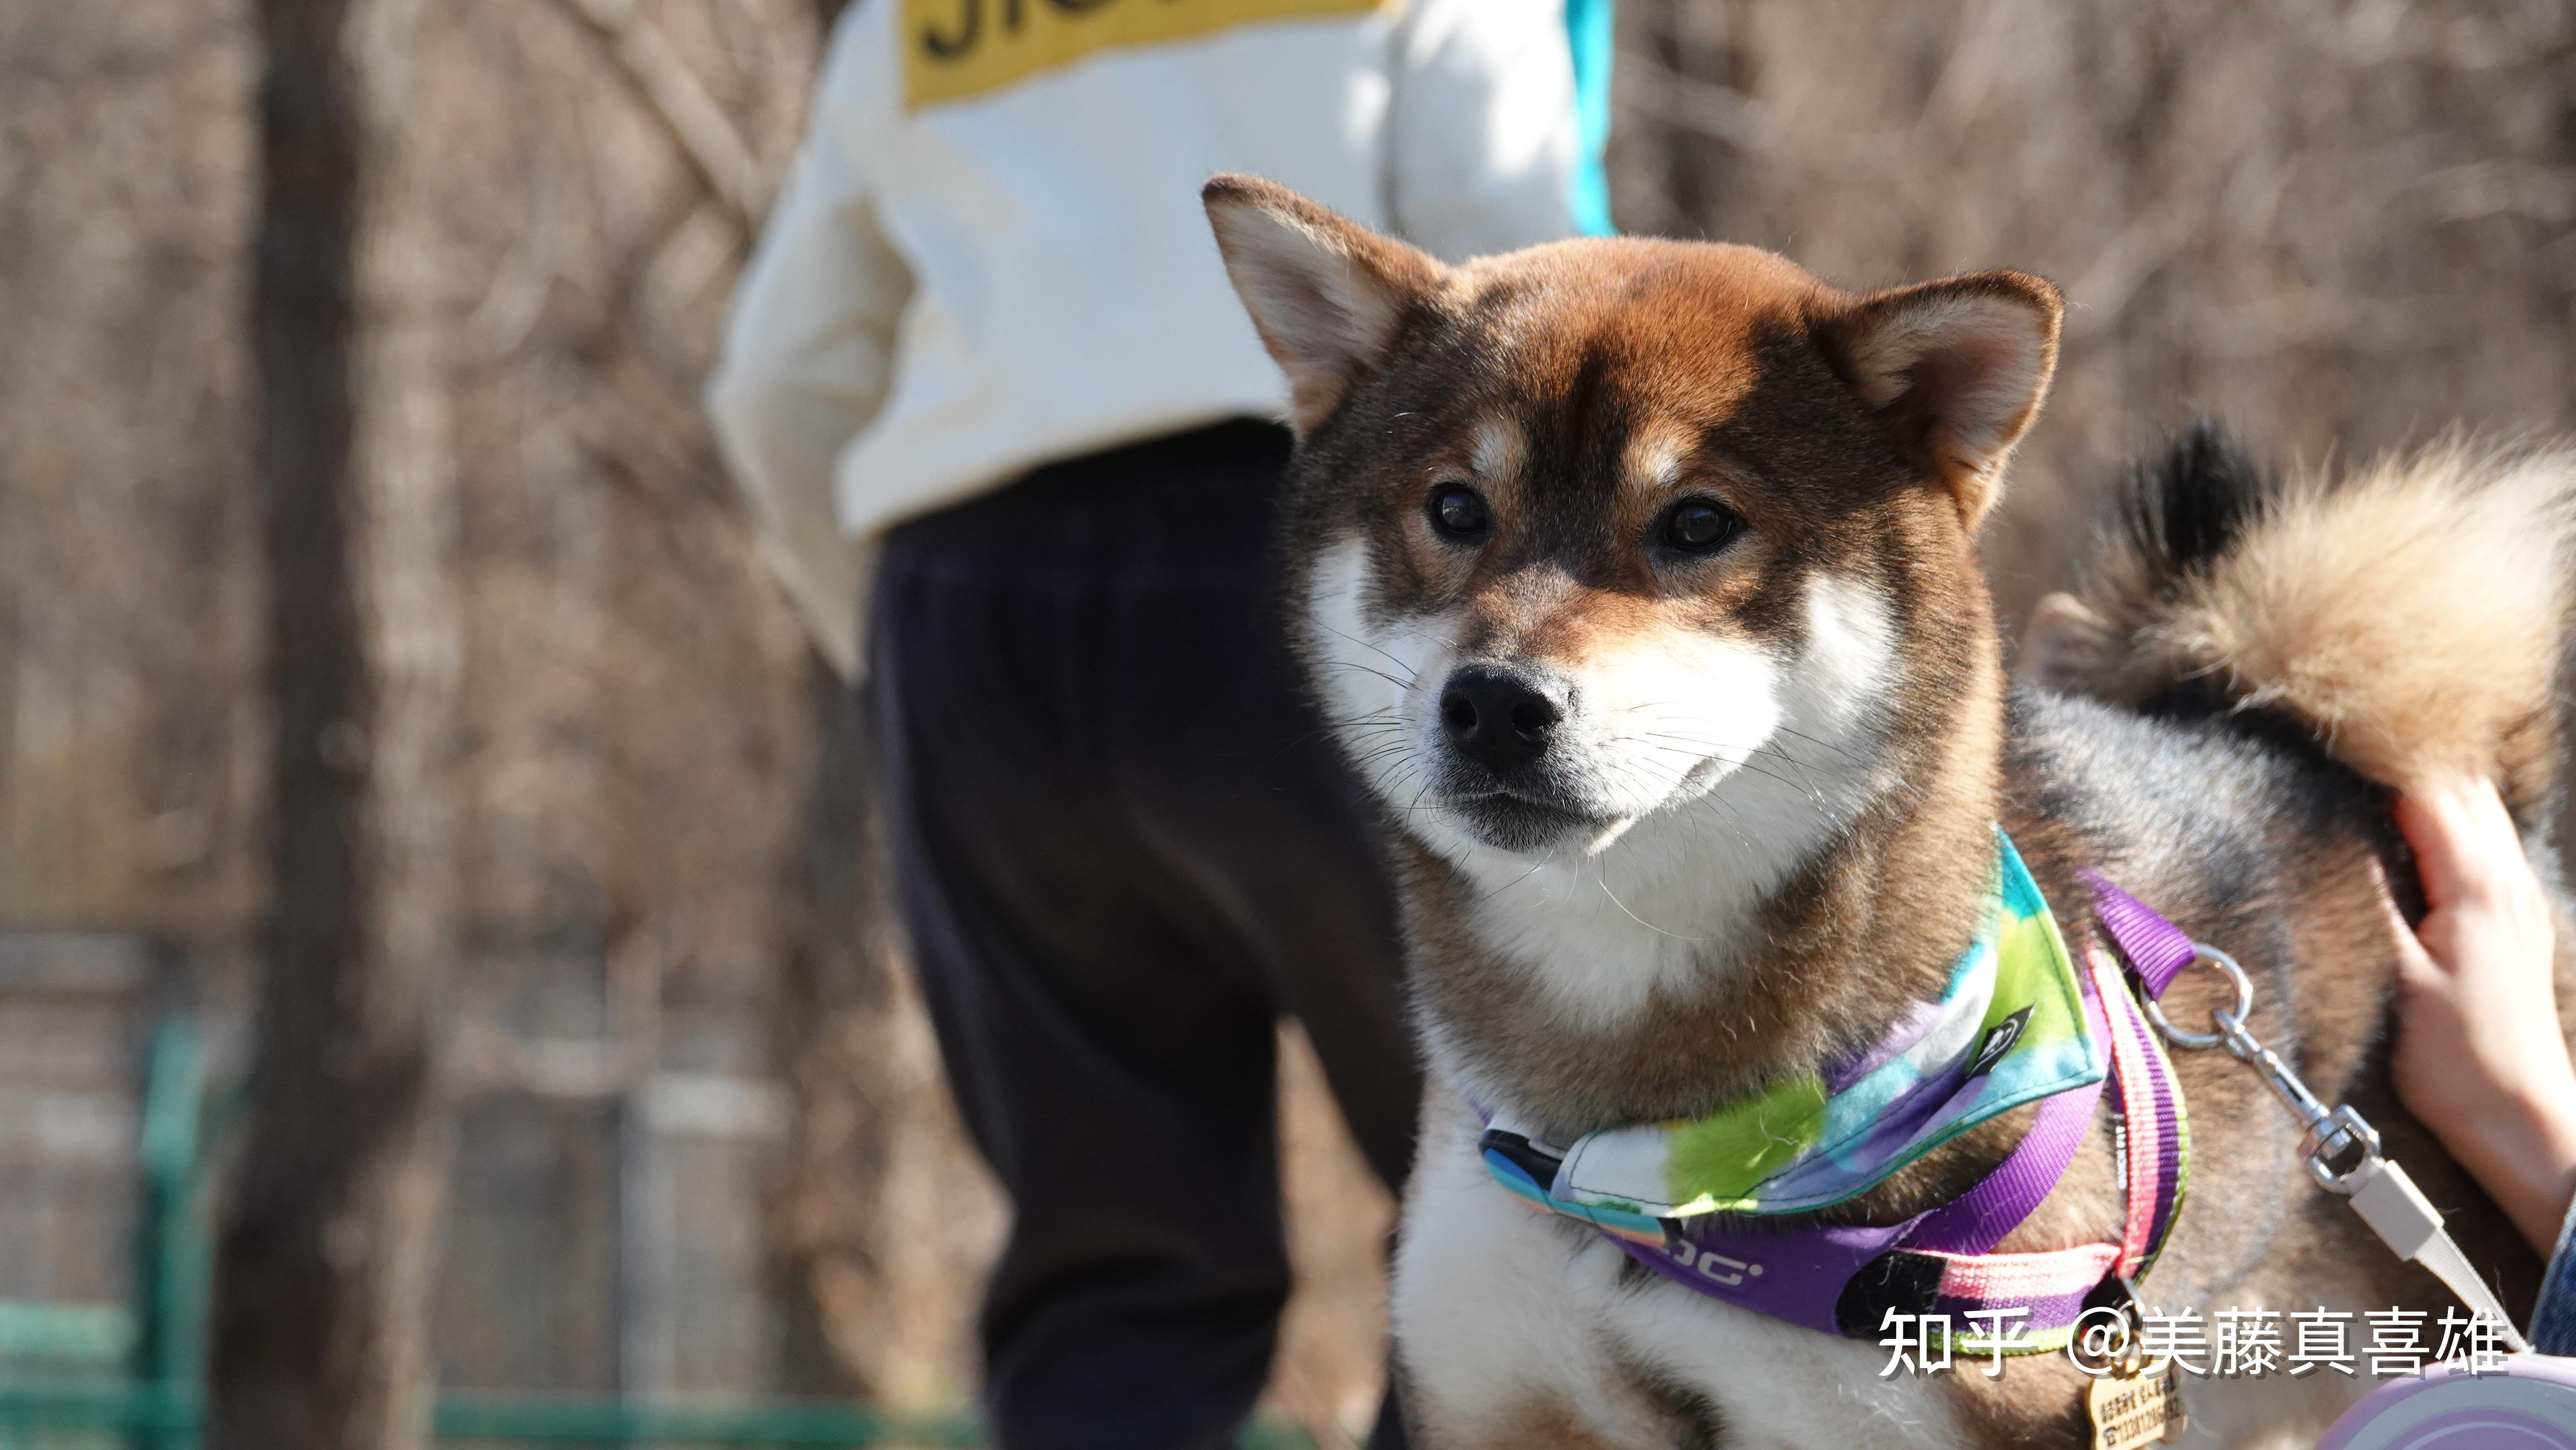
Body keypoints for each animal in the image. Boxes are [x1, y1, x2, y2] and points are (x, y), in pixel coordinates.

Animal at [1195, 172, 2576, 1450]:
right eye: (1453, 509)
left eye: (1696, 523)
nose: (1491, 704)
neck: (1648, 1168)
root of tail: (2292, 737)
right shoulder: (1503, 1394)